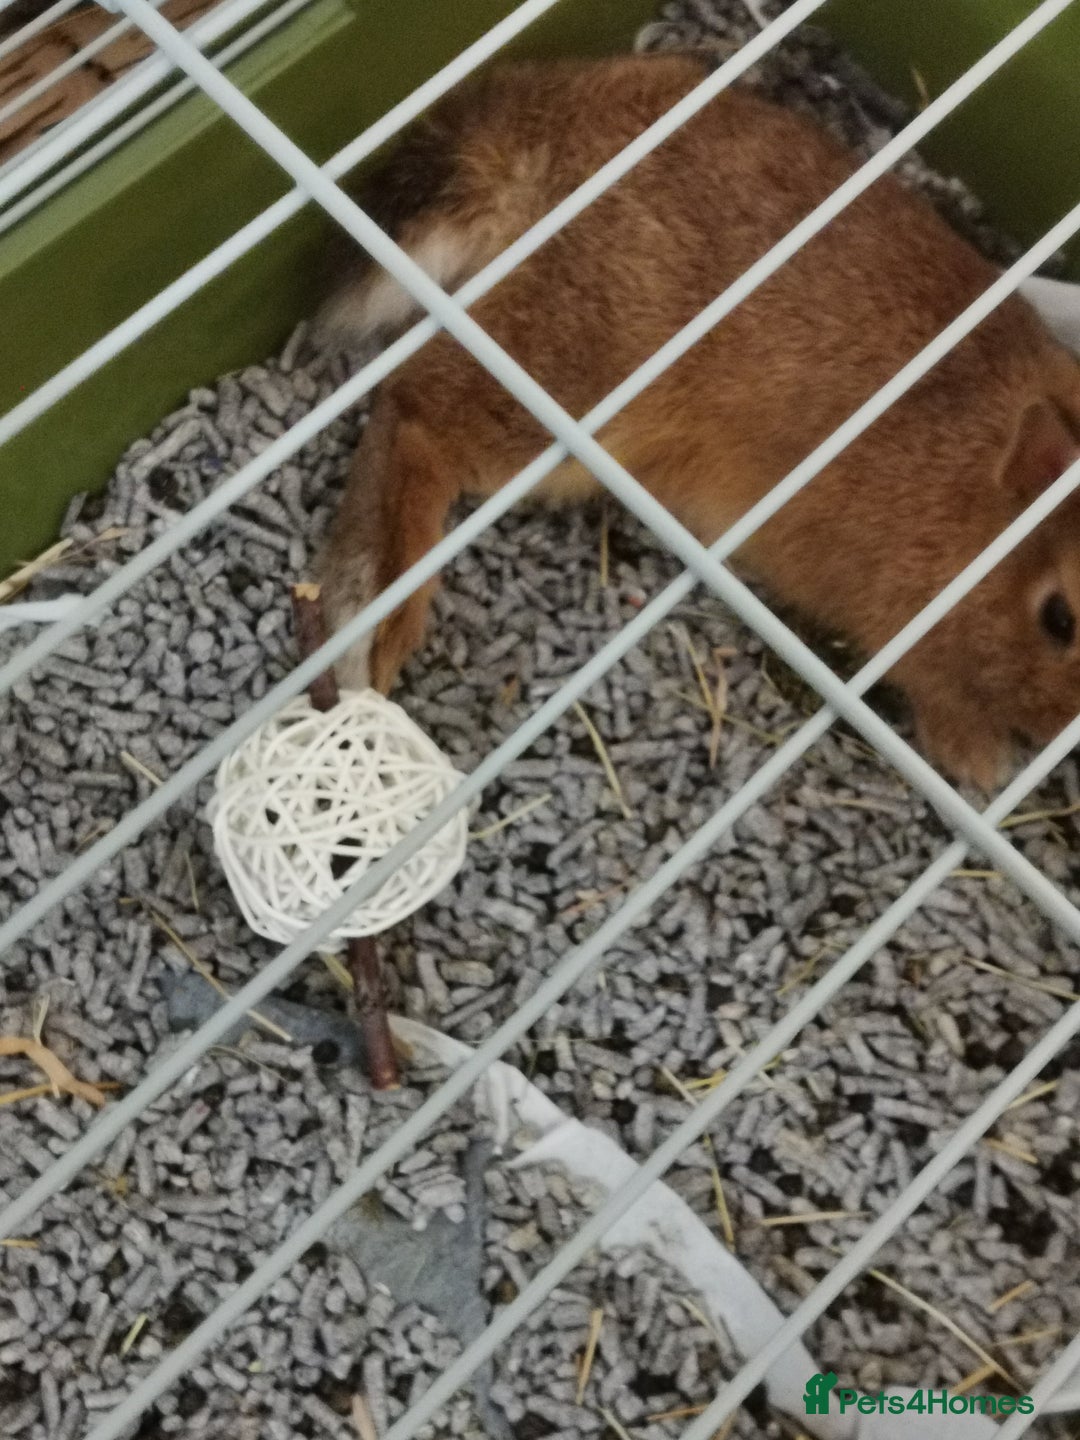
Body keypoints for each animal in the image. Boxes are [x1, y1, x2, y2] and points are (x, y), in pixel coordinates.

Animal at [314, 52, 1080, 790]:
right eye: (1059, 619)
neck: (985, 512)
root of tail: (536, 139)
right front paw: (978, 760)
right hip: (569, 395)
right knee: (412, 411)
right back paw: (373, 628)